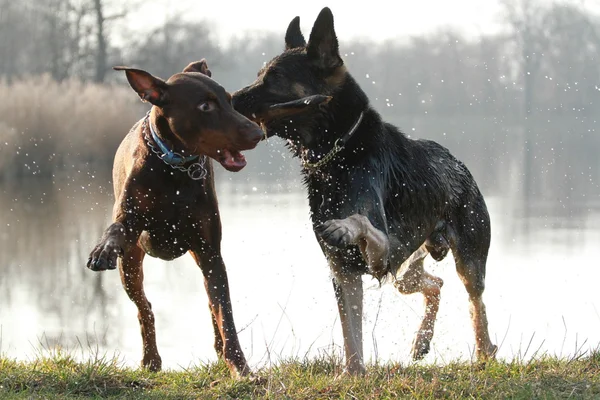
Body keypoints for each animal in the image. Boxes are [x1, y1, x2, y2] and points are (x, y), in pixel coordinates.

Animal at [86, 60, 262, 378]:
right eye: (205, 106)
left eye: (229, 100)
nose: (257, 133)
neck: (174, 167)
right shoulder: (130, 219)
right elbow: (117, 227)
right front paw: (102, 249)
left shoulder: (209, 250)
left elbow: (225, 312)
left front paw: (240, 367)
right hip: (130, 264)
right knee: (144, 307)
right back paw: (150, 359)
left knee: (211, 301)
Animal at [230, 7, 496, 376]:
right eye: (259, 75)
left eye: (274, 78)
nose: (227, 99)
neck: (340, 153)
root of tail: (459, 163)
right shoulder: (344, 272)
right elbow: (350, 332)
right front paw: (353, 374)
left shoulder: (384, 251)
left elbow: (360, 221)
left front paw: (343, 226)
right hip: (405, 273)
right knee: (434, 284)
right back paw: (421, 341)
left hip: (467, 260)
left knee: (476, 302)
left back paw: (484, 350)